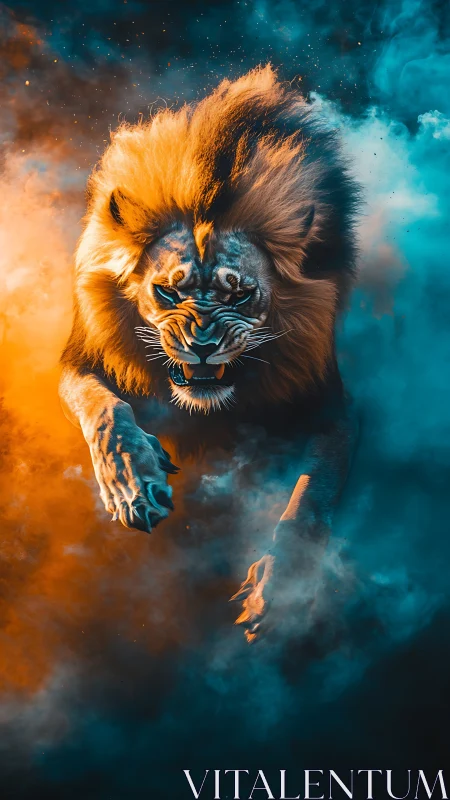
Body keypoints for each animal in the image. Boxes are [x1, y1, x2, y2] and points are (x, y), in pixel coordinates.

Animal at [59, 65, 359, 642]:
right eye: (167, 292)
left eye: (239, 294)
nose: (202, 348)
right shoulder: (81, 360)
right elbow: (106, 414)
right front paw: (133, 483)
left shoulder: (331, 403)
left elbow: (309, 498)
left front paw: (280, 585)